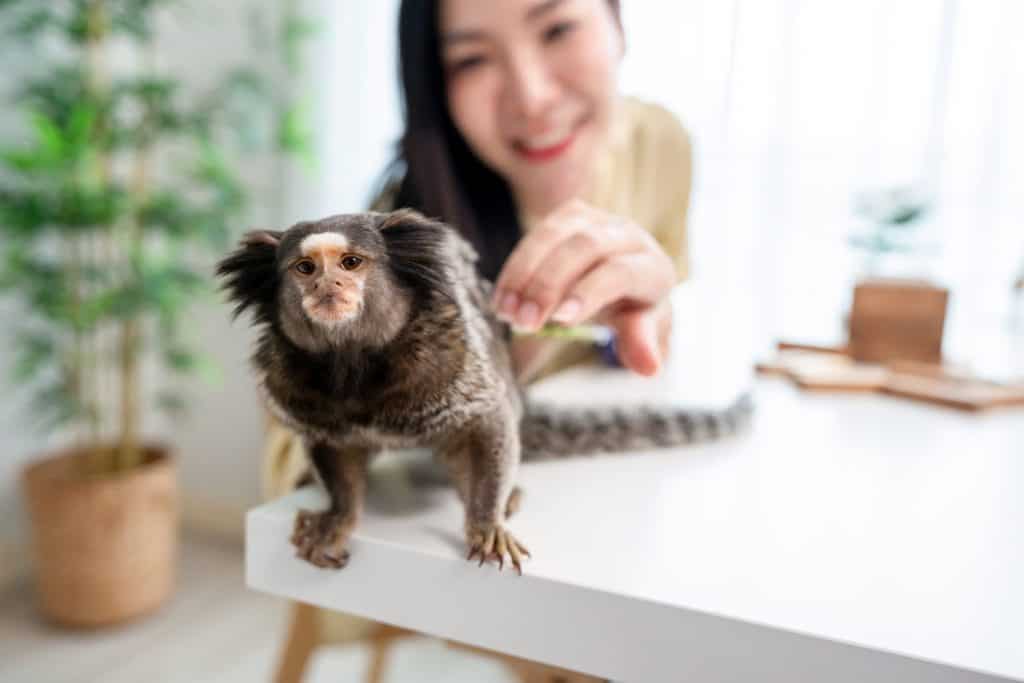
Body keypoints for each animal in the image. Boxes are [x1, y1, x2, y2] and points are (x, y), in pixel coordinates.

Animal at [216, 210, 752, 574]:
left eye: (351, 262)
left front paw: (487, 521)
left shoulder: (454, 370)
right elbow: (336, 458)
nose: (328, 286)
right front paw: (338, 516)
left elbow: (489, 426)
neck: (353, 365)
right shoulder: (307, 403)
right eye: (304, 268)